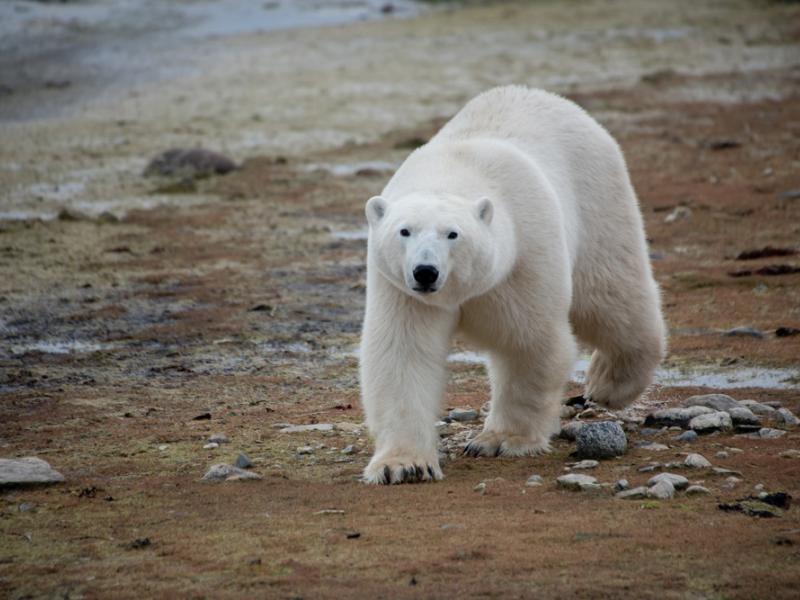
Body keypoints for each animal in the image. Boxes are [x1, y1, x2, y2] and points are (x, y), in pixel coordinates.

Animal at [360, 86, 664, 486]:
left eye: (452, 234)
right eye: (404, 231)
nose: (426, 272)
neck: (454, 169)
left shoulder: (522, 256)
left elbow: (527, 343)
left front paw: (501, 440)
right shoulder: (401, 290)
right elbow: (402, 354)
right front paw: (403, 465)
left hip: (598, 199)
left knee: (609, 296)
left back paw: (608, 383)